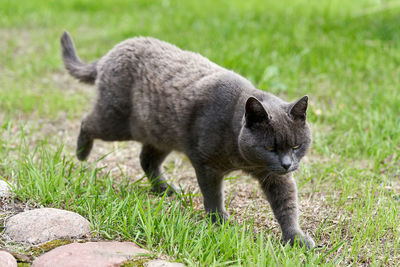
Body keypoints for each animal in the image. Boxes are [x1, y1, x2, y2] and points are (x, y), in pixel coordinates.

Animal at [59, 31, 316, 249]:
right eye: (270, 147)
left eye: (296, 146)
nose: (287, 164)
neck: (244, 160)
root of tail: (110, 53)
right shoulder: (206, 163)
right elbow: (213, 194)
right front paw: (218, 221)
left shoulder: (275, 176)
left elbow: (287, 204)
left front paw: (296, 238)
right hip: (116, 121)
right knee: (87, 122)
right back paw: (81, 154)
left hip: (160, 134)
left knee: (146, 159)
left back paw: (165, 189)